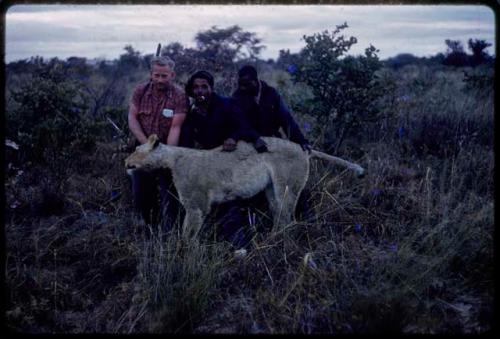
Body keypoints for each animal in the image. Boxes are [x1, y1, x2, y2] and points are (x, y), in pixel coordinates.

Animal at [127, 135, 366, 239]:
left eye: (137, 149)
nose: (125, 162)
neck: (172, 159)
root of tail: (302, 147)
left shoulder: (196, 206)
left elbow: (188, 234)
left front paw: (183, 255)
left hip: (287, 186)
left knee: (288, 217)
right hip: (271, 190)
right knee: (280, 214)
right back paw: (272, 238)